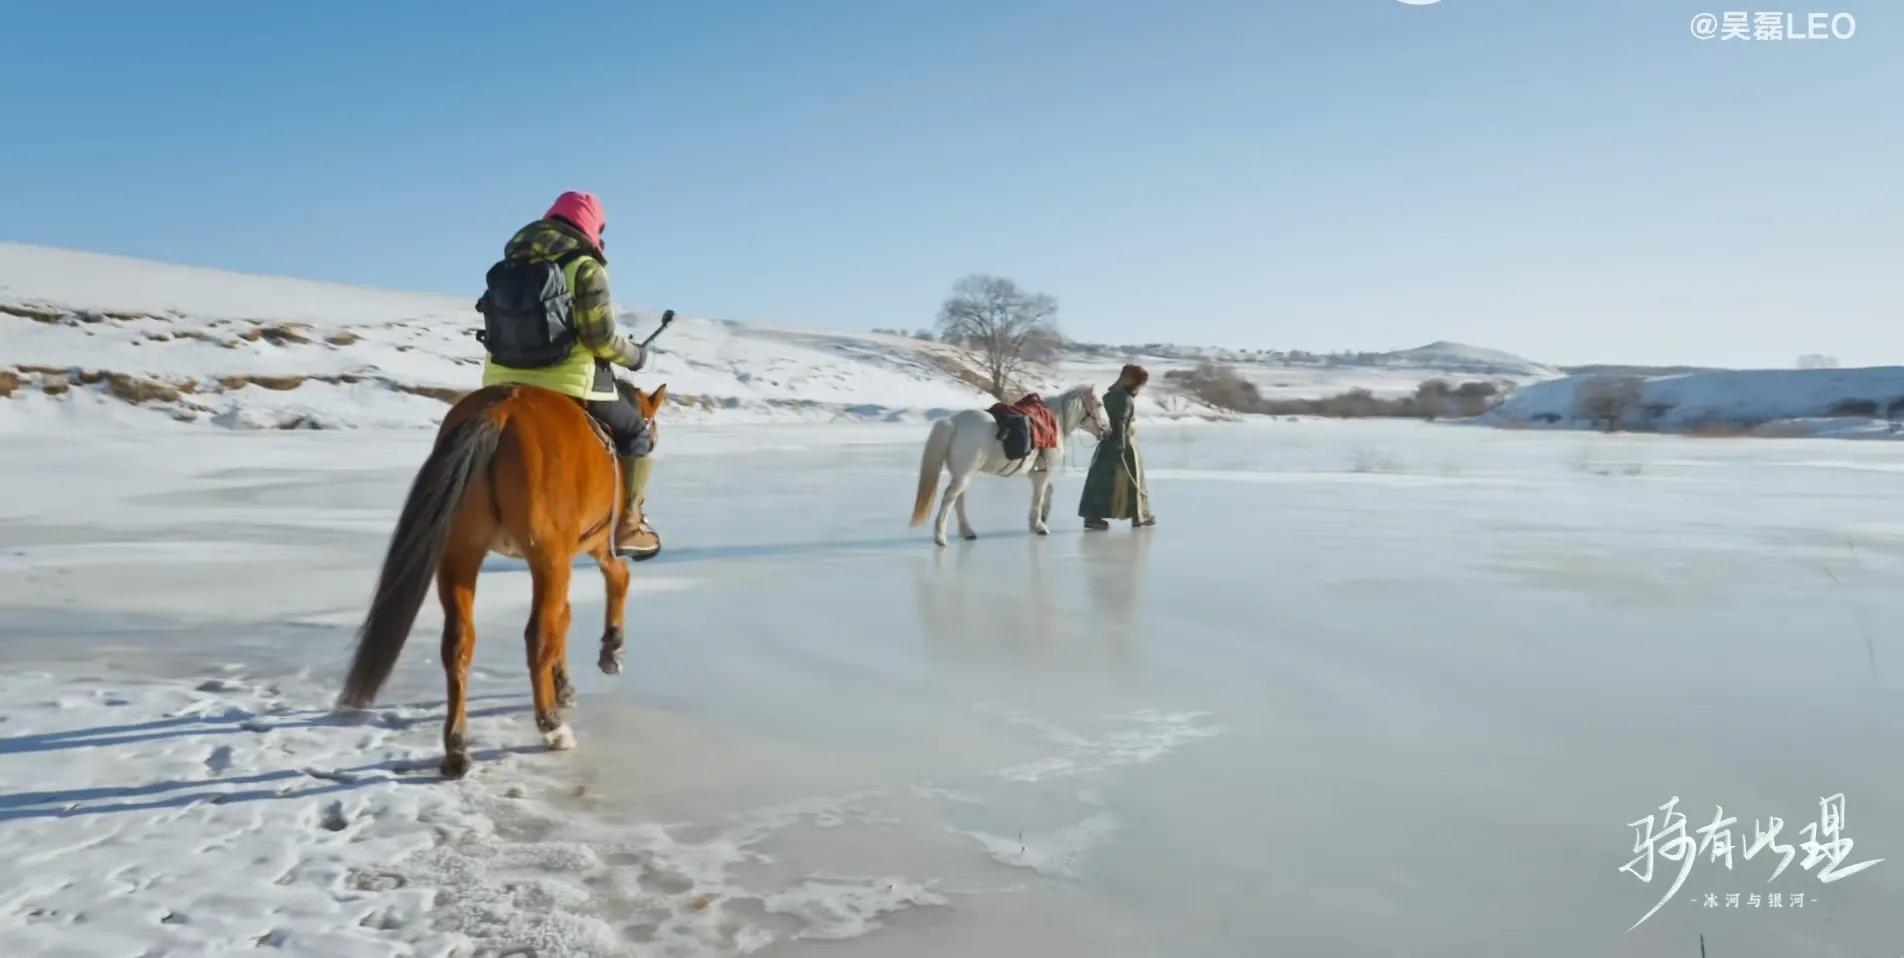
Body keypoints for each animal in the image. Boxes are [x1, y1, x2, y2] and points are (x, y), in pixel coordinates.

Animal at [338, 379, 666, 777]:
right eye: (651, 427)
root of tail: (500, 412)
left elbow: (565, 616)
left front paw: (565, 684)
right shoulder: (594, 546)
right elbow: (614, 580)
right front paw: (610, 651)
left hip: (462, 551)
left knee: (459, 642)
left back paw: (457, 748)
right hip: (547, 554)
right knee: (537, 636)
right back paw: (552, 727)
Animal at [910, 384, 1111, 548]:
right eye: (1100, 404)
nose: (1108, 430)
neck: (1055, 421)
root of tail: (953, 423)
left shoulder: (1036, 471)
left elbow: (1048, 491)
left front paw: (1043, 515)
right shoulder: (1042, 473)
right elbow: (1039, 496)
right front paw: (1039, 525)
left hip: (961, 473)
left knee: (958, 500)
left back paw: (967, 532)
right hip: (964, 474)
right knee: (949, 499)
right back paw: (940, 537)